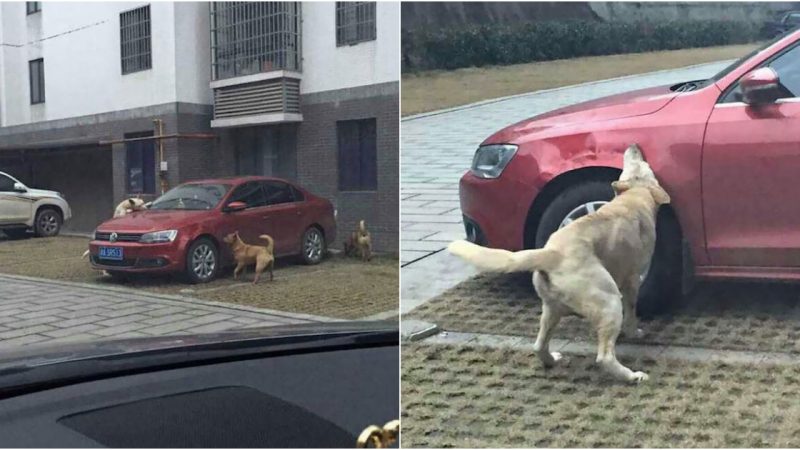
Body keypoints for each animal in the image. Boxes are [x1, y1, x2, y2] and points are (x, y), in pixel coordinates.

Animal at [450, 145, 668, 384]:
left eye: (631, 163)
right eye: (643, 164)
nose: (634, 146)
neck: (634, 196)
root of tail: (551, 253)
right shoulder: (632, 279)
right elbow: (632, 310)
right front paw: (634, 331)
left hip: (551, 309)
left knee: (539, 346)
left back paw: (551, 359)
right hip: (609, 300)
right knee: (604, 357)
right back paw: (632, 376)